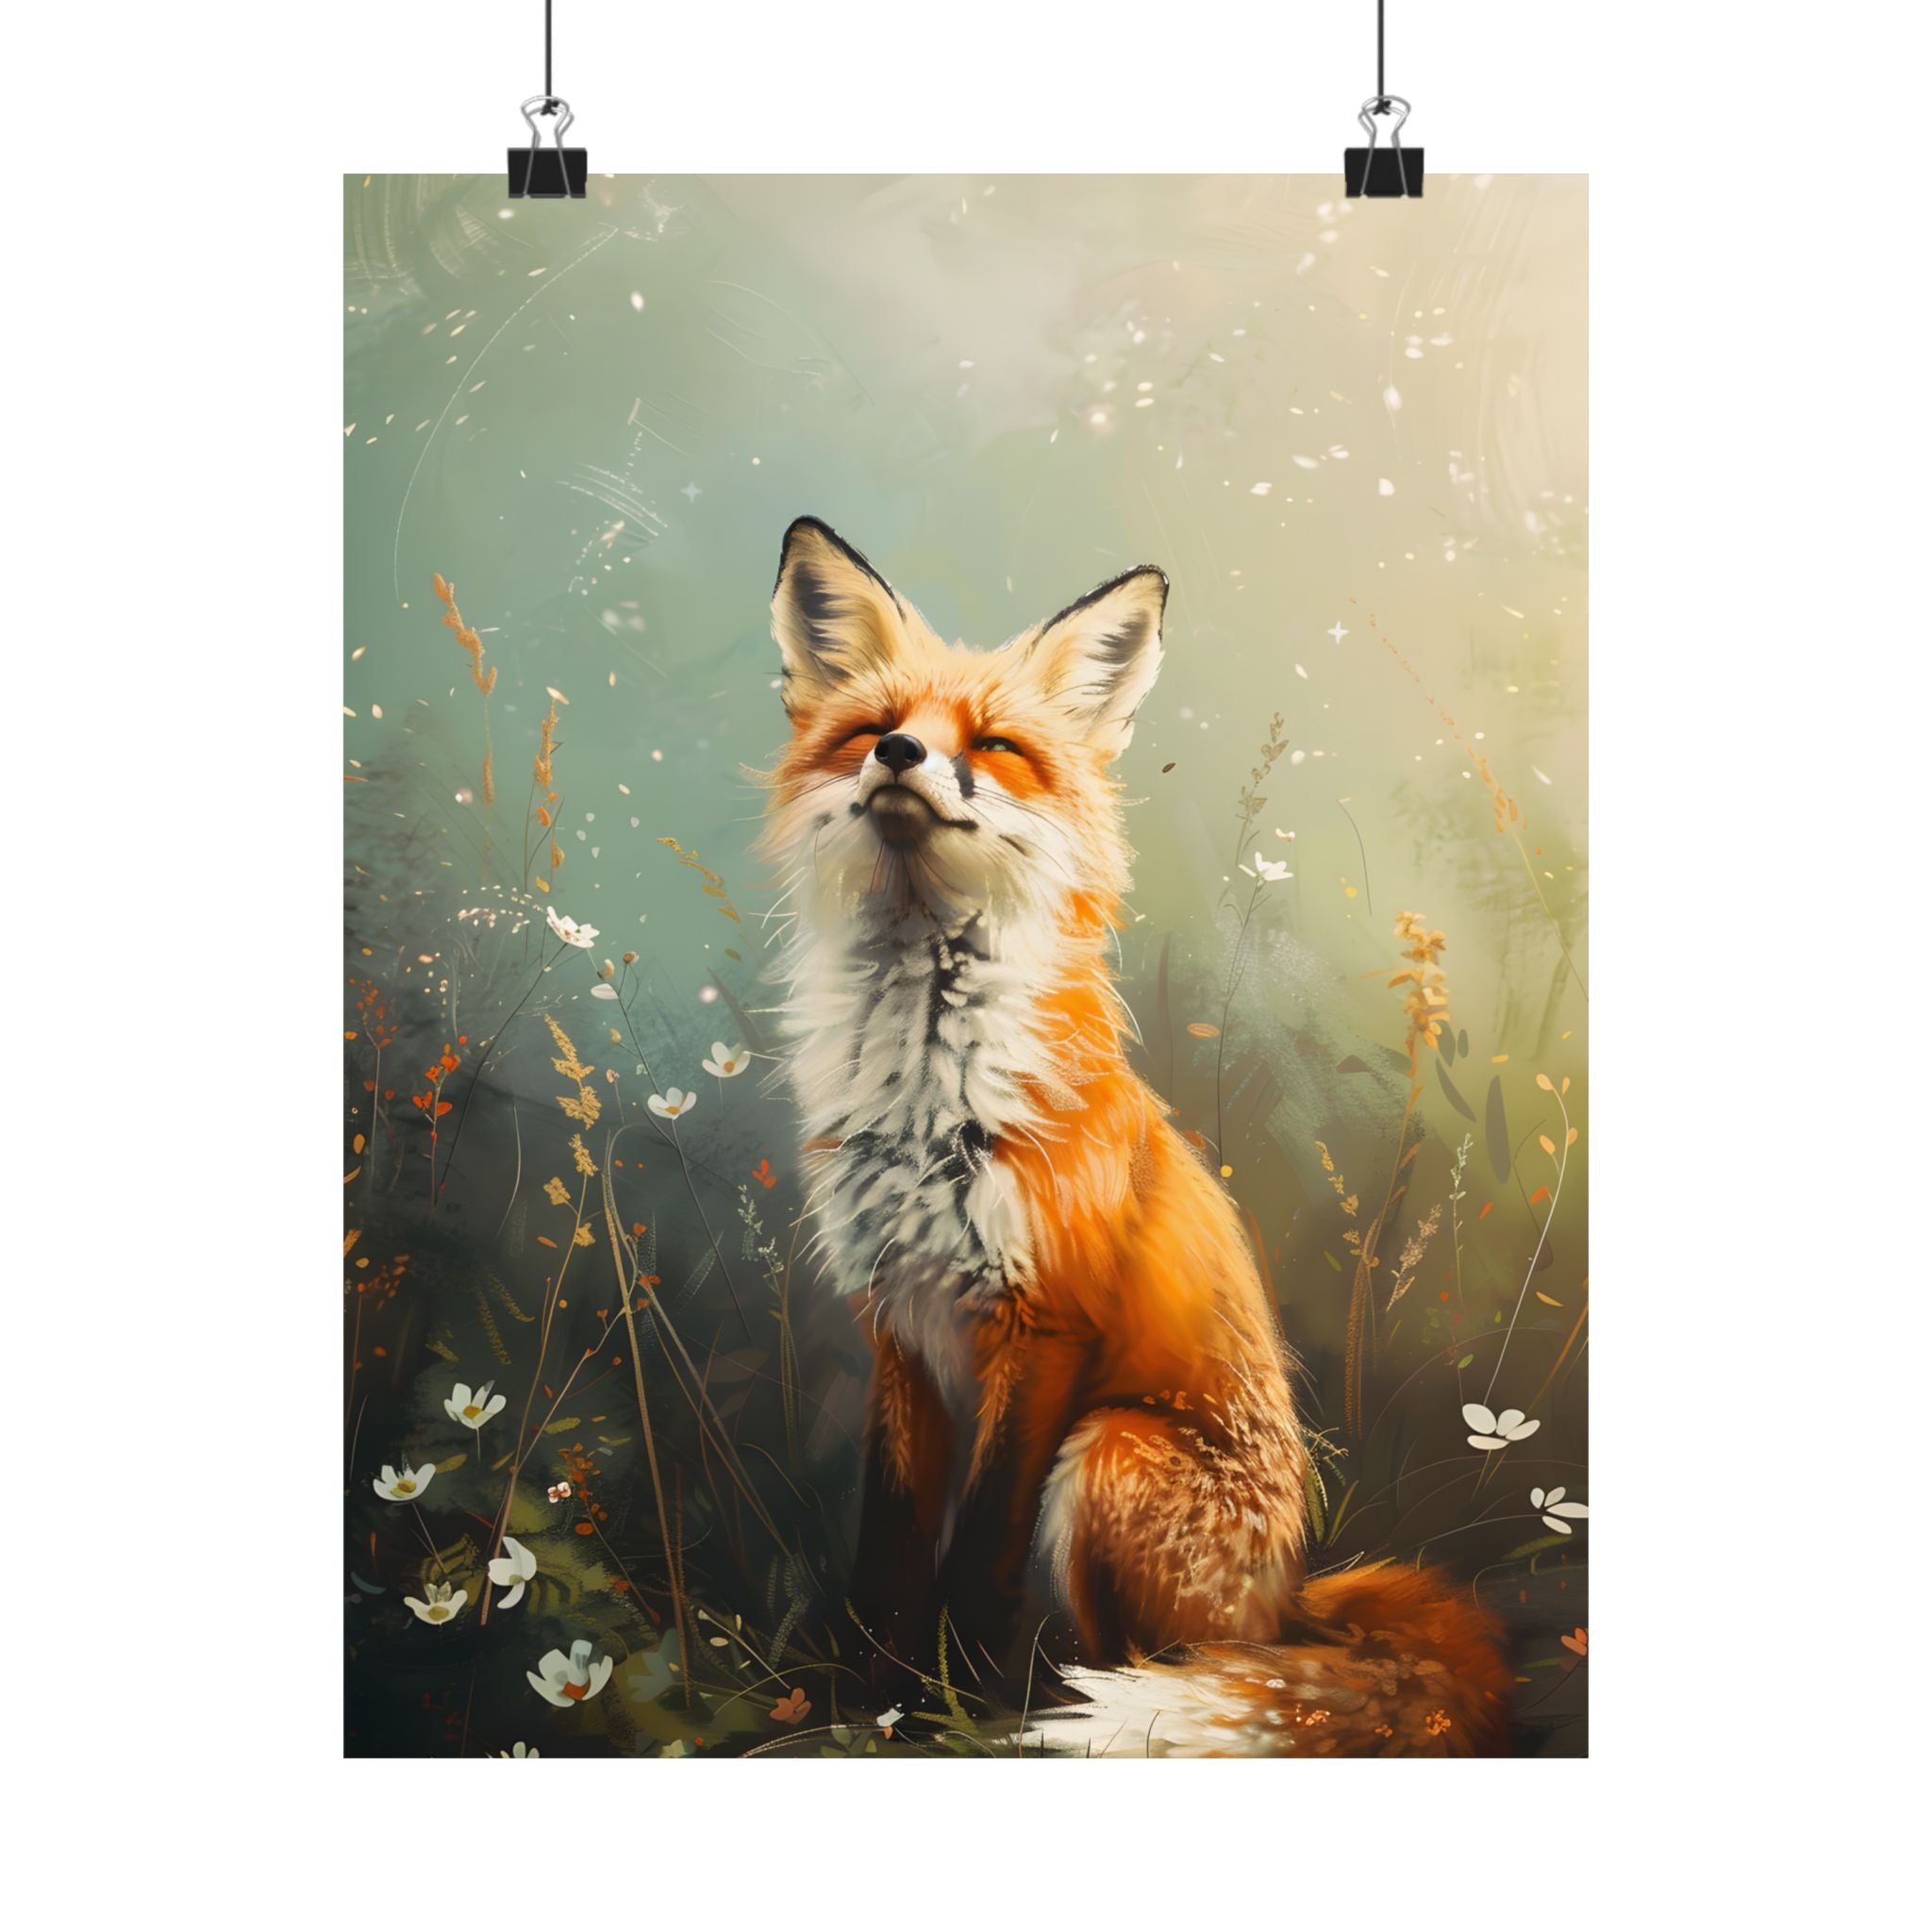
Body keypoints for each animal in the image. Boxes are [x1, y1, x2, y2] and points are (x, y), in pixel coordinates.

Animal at [759, 516, 1511, 1756]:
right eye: (873, 729)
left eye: (995, 744)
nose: (900, 759)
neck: (927, 1084)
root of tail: (1289, 1599)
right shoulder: (897, 1324)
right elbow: (890, 1542)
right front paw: (861, 1694)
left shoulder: (1045, 1321)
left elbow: (976, 1555)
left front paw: (946, 1702)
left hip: (1109, 1449)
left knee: (1165, 1666)